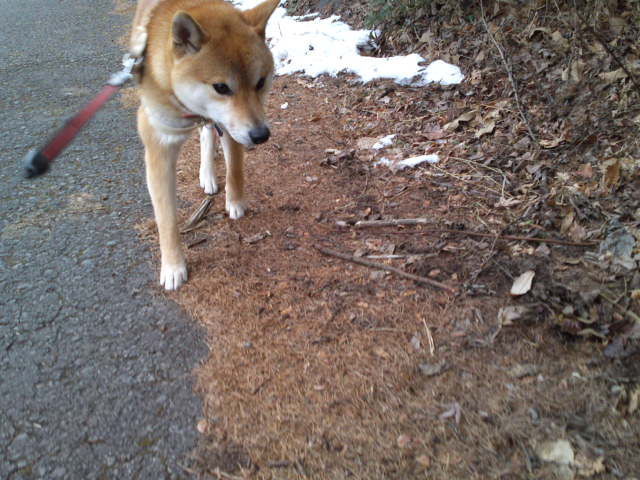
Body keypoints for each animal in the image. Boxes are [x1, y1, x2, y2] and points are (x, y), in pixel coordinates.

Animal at [131, 0, 280, 290]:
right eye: (221, 87)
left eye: (260, 82)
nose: (261, 135)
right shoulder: (159, 145)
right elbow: (166, 218)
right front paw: (173, 266)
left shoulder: (231, 126)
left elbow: (236, 170)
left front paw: (235, 201)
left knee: (207, 135)